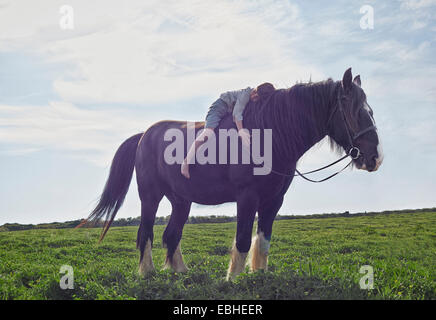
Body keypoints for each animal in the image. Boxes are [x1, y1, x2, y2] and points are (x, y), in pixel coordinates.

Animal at [80, 68, 384, 280]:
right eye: (355, 111)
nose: (375, 158)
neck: (271, 135)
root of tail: (144, 135)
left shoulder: (273, 200)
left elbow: (263, 240)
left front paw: (258, 275)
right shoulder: (247, 197)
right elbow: (242, 239)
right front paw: (234, 279)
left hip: (181, 200)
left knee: (171, 234)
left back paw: (180, 271)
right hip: (150, 197)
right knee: (146, 232)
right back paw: (147, 272)